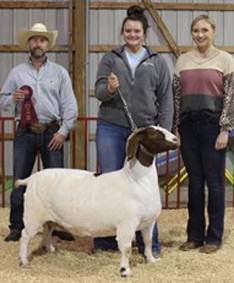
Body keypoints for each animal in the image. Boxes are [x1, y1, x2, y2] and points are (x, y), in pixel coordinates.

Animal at [16, 126, 177, 278]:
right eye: (153, 133)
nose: (176, 139)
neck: (135, 180)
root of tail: (31, 178)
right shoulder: (126, 225)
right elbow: (126, 249)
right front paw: (125, 271)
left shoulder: (149, 222)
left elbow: (148, 242)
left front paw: (151, 260)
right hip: (33, 215)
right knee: (25, 236)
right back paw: (24, 261)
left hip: (48, 217)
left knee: (47, 230)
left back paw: (50, 250)